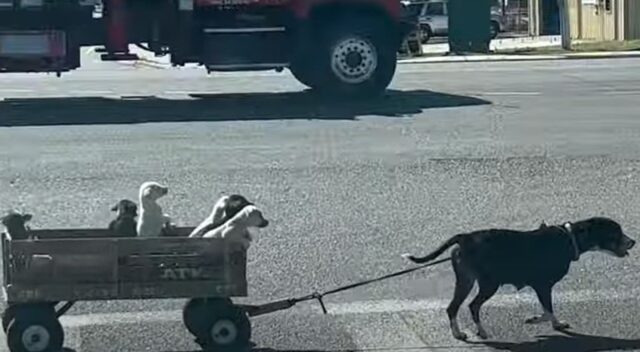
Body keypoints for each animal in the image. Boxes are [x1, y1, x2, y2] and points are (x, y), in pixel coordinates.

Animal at [400, 217, 636, 340]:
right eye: (616, 232)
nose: (633, 241)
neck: (570, 239)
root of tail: (465, 238)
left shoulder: (542, 287)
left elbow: (549, 311)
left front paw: (553, 323)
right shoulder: (543, 285)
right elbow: (547, 311)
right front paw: (539, 321)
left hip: (465, 281)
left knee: (452, 307)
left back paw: (458, 333)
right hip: (489, 284)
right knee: (473, 306)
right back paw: (481, 331)